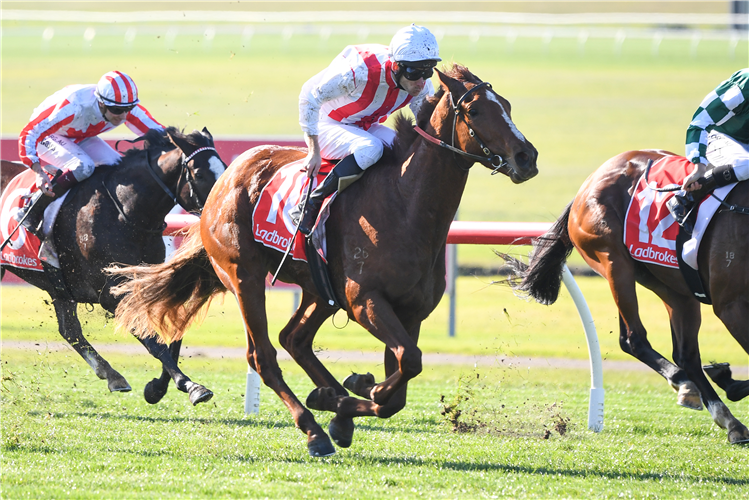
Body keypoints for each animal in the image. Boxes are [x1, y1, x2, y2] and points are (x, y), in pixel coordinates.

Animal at [1, 126, 226, 406]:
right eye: (199, 173)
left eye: (224, 167)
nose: (222, 209)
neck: (125, 212)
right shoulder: (111, 294)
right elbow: (152, 339)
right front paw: (190, 385)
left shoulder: (145, 283)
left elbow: (173, 333)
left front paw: (158, 387)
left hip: (59, 287)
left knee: (69, 330)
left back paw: (111, 375)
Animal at [111, 65, 536, 458]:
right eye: (476, 110)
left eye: (508, 105)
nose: (526, 156)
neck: (405, 205)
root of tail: (226, 178)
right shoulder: (365, 301)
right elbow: (406, 366)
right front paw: (353, 394)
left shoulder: (410, 311)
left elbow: (399, 383)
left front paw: (350, 396)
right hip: (244, 275)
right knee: (263, 355)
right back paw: (314, 429)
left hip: (318, 288)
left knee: (294, 338)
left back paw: (330, 401)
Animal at [496, 149, 748, 446]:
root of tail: (589, 182)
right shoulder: (731, 305)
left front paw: (728, 379)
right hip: (615, 262)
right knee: (634, 339)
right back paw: (698, 392)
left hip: (671, 282)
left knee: (685, 354)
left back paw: (720, 408)